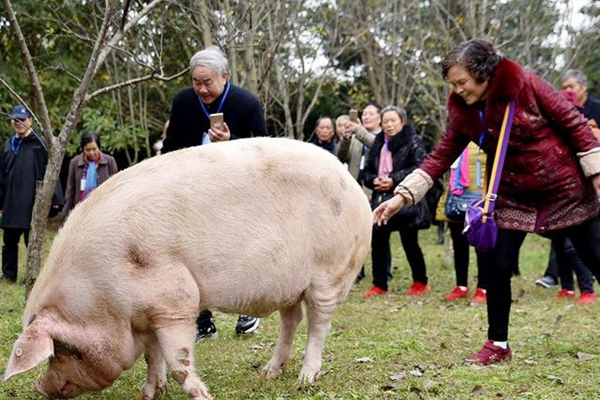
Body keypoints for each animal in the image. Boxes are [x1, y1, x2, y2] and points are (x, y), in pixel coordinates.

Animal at [2, 137, 372, 396]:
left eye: (65, 350)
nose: (40, 388)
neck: (101, 296)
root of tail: (350, 180)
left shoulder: (175, 298)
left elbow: (178, 358)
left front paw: (201, 395)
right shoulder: (146, 313)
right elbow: (153, 356)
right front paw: (149, 394)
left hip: (330, 271)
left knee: (319, 324)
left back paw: (305, 380)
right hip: (289, 285)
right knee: (291, 320)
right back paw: (268, 373)